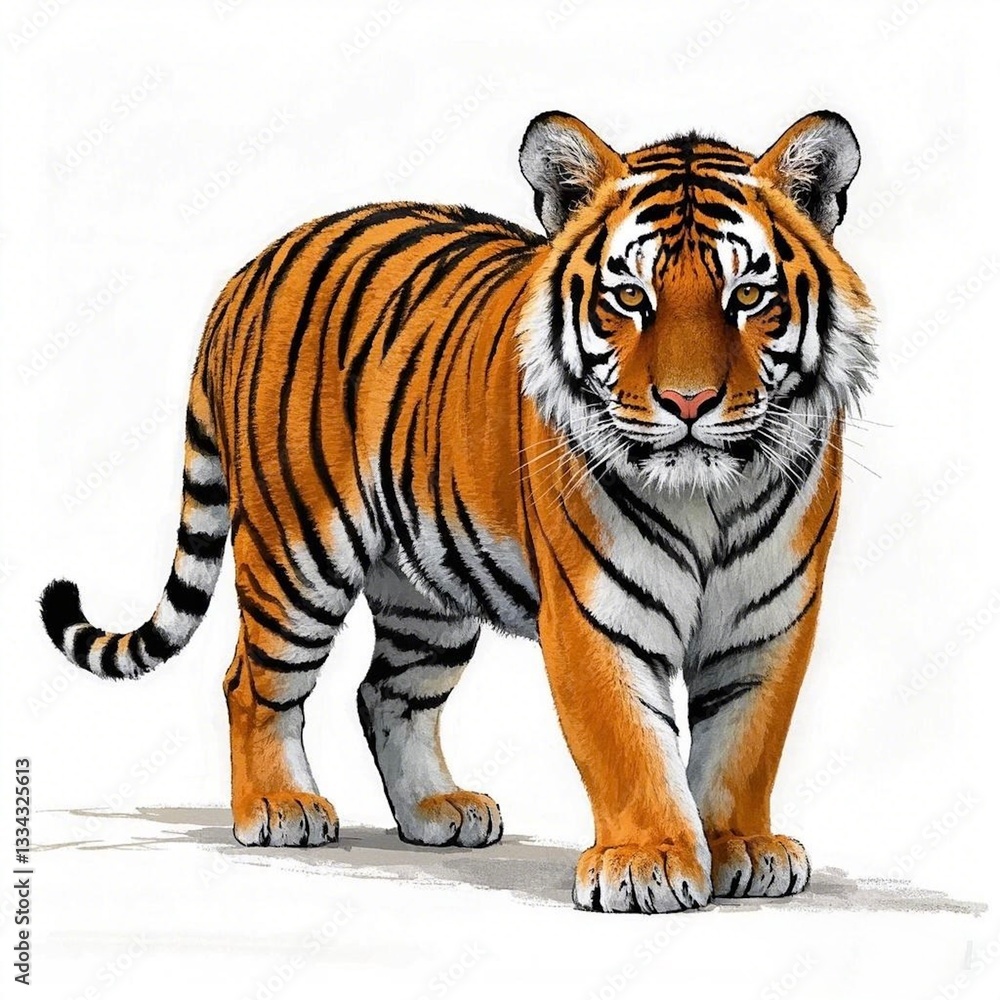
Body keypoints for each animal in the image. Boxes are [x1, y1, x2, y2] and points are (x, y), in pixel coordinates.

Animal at [40, 109, 875, 913]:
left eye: (749, 297)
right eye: (631, 298)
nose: (688, 402)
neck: (710, 497)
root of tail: (249, 269)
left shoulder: (770, 620)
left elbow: (744, 745)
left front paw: (743, 849)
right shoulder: (593, 614)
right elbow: (627, 743)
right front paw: (647, 863)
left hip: (426, 591)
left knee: (386, 692)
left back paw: (437, 810)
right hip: (297, 556)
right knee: (251, 682)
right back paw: (279, 807)